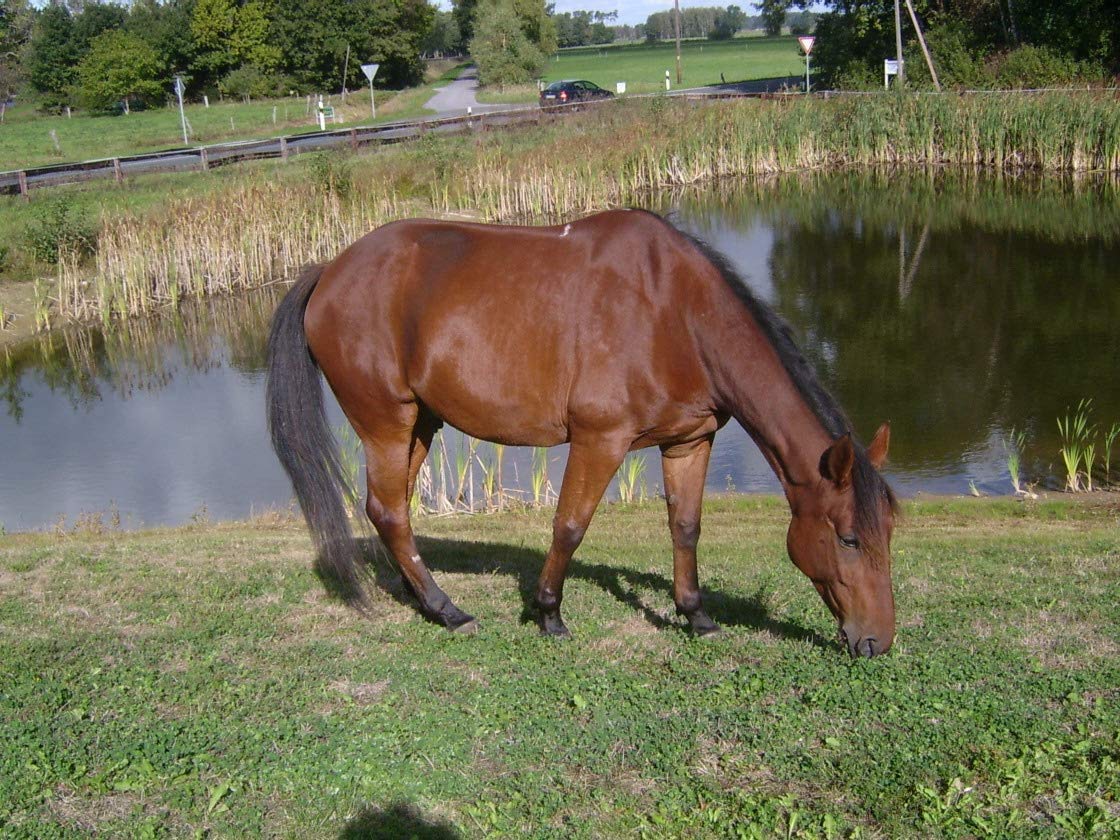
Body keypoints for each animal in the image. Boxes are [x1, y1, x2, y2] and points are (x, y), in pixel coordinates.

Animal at [267, 209, 898, 658]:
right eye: (848, 539)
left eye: (889, 533)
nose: (877, 641)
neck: (676, 312)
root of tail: (328, 272)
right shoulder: (601, 441)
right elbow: (570, 526)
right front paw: (548, 613)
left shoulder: (689, 442)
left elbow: (686, 527)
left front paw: (695, 614)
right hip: (386, 422)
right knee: (392, 510)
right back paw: (449, 610)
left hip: (420, 423)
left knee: (387, 506)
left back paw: (418, 593)